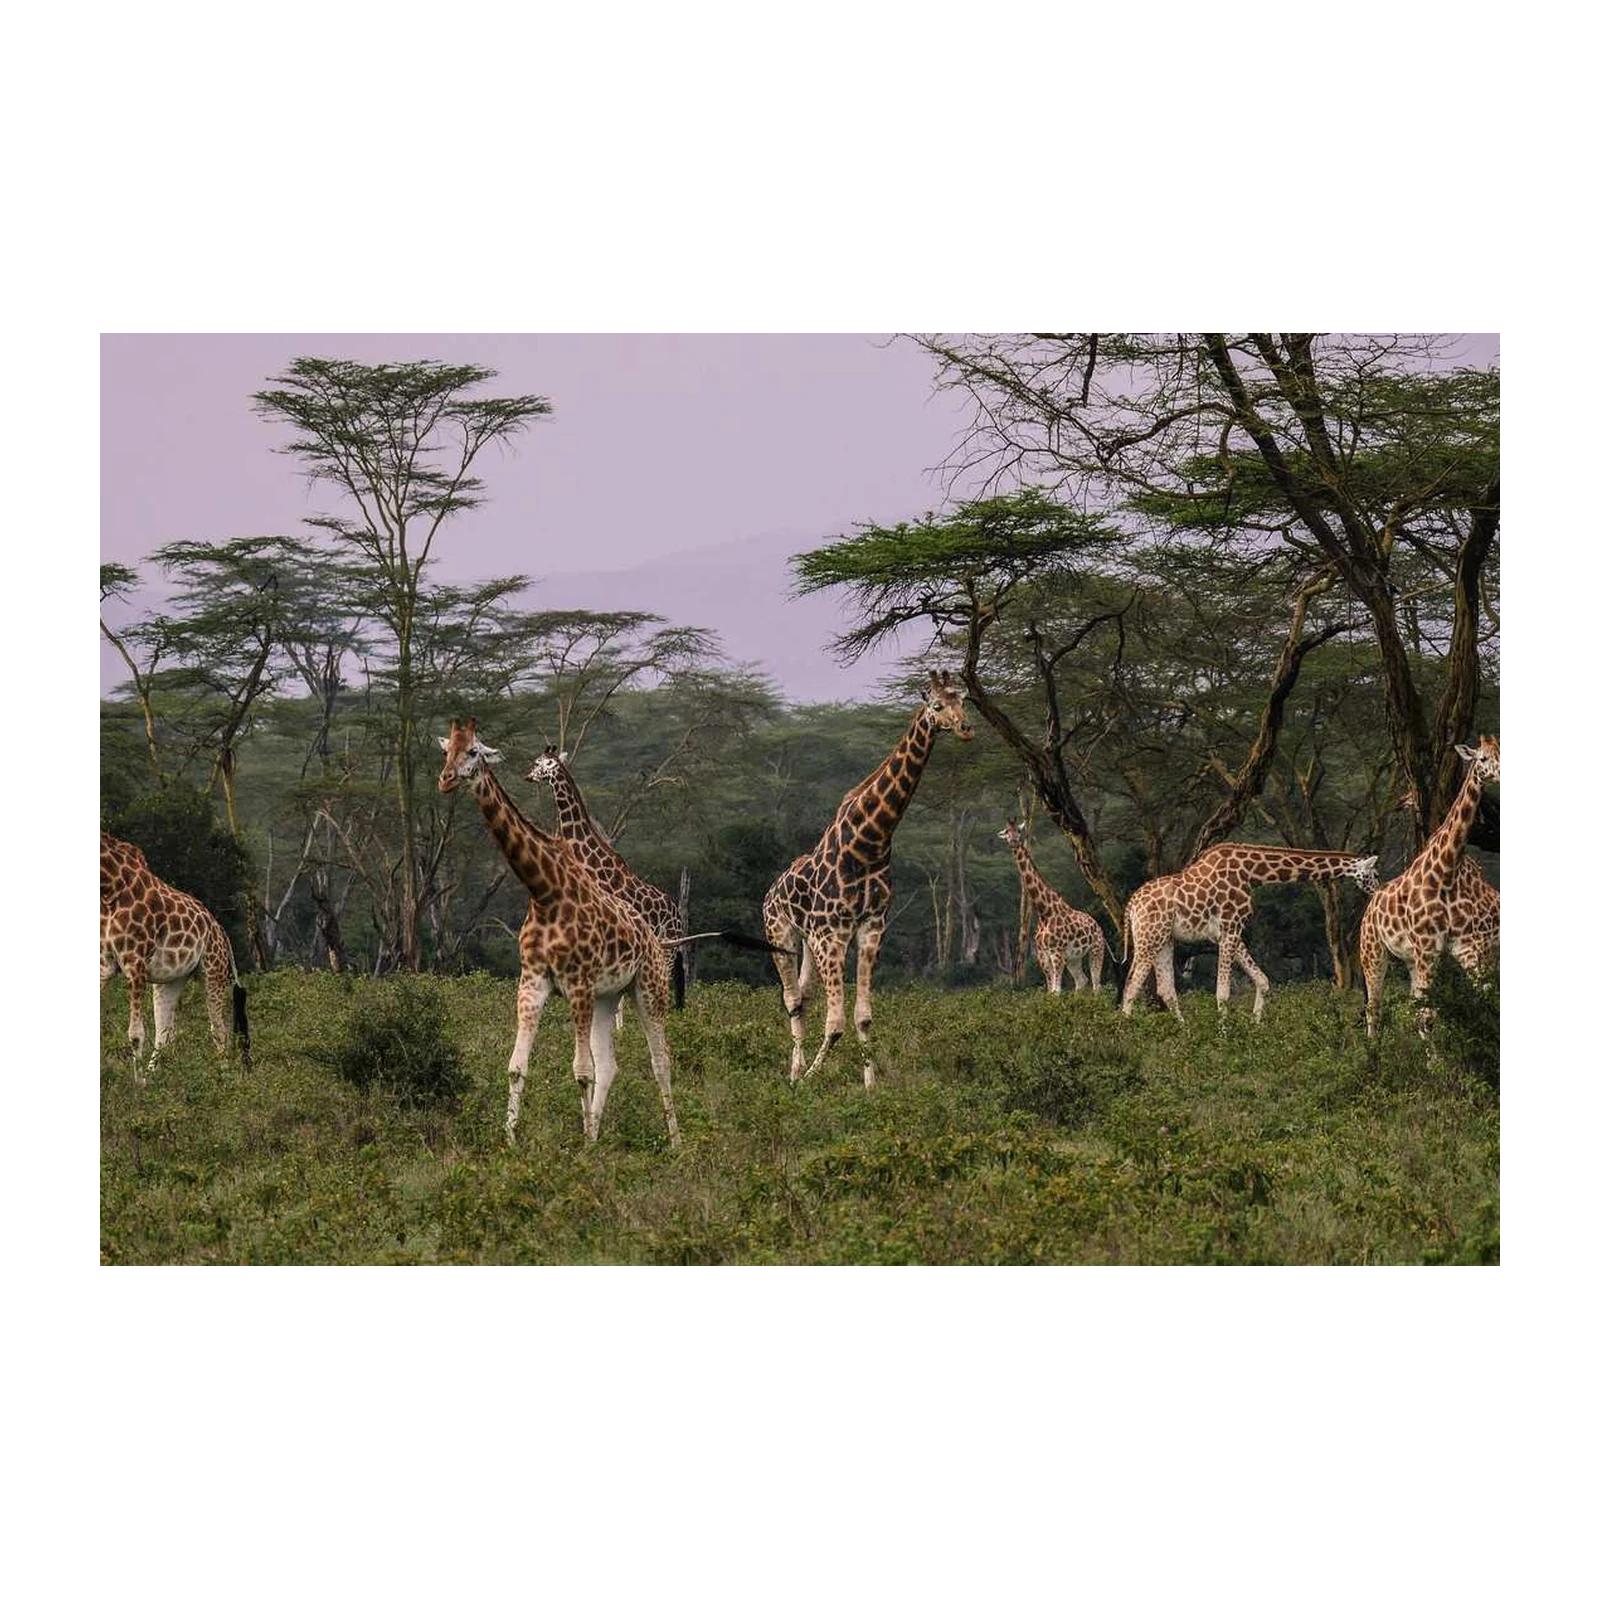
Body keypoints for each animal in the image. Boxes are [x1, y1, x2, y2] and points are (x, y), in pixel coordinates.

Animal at [98, 830, 251, 1079]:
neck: (110, 889)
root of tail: (222, 933)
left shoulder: (135, 964)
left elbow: (136, 1033)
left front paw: (137, 1085)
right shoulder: (105, 966)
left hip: (214, 973)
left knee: (219, 1030)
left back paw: (222, 1077)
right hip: (172, 980)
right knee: (165, 1033)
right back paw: (155, 1079)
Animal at [763, 670, 974, 1087]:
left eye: (963, 699)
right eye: (937, 704)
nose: (966, 728)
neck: (870, 842)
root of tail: (771, 890)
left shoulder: (870, 928)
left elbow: (862, 1017)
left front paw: (871, 1087)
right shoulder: (832, 934)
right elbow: (836, 1022)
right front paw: (810, 1078)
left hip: (809, 941)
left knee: (804, 998)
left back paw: (796, 1069)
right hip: (782, 934)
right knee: (792, 1000)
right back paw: (794, 1074)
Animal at [998, 820, 1108, 993]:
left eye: (1019, 831)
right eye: (1007, 831)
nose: (1014, 841)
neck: (1044, 911)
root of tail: (1097, 925)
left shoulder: (1056, 952)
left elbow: (1056, 991)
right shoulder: (1043, 955)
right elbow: (1051, 990)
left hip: (1096, 949)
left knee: (1097, 984)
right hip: (1073, 958)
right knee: (1082, 980)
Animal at [1121, 844, 1381, 1023]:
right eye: (1375, 874)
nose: (1379, 890)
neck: (1253, 874)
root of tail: (1130, 906)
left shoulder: (1228, 932)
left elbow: (1263, 981)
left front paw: (1255, 1025)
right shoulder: (1230, 927)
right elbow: (1223, 992)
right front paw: (1224, 1035)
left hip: (1164, 939)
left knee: (1164, 989)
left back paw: (1184, 1032)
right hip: (1149, 937)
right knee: (1131, 984)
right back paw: (1125, 1034)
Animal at [1361, 736, 1502, 1038]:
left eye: (1502, 754)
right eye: (1482, 758)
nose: (1399, 802)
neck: (1446, 873)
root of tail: (1371, 904)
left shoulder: (1465, 947)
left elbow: (1483, 1001)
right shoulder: (1430, 948)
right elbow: (1429, 1014)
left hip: (1411, 959)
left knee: (1409, 1006)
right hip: (1373, 953)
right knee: (1373, 1009)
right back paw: (1372, 1052)